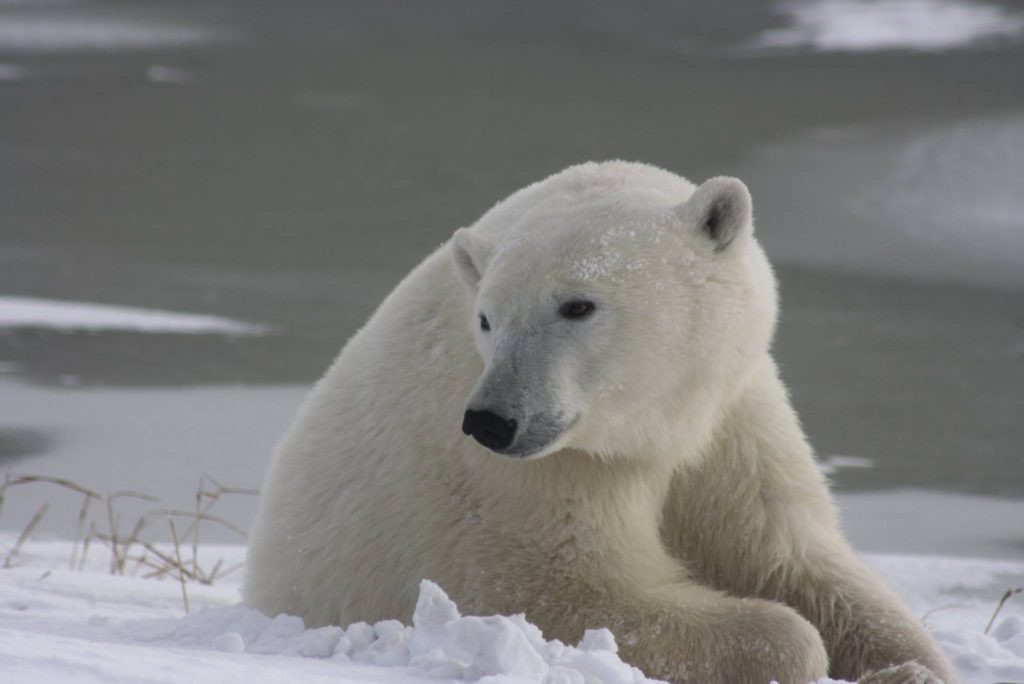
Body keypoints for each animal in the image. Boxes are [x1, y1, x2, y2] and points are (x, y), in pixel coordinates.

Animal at [244, 161, 957, 684]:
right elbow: (560, 593)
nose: (491, 421)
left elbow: (795, 556)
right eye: (486, 318)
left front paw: (910, 668)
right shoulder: (530, 479)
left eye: (577, 305)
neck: (650, 425)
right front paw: (799, 650)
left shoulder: (732, 420)